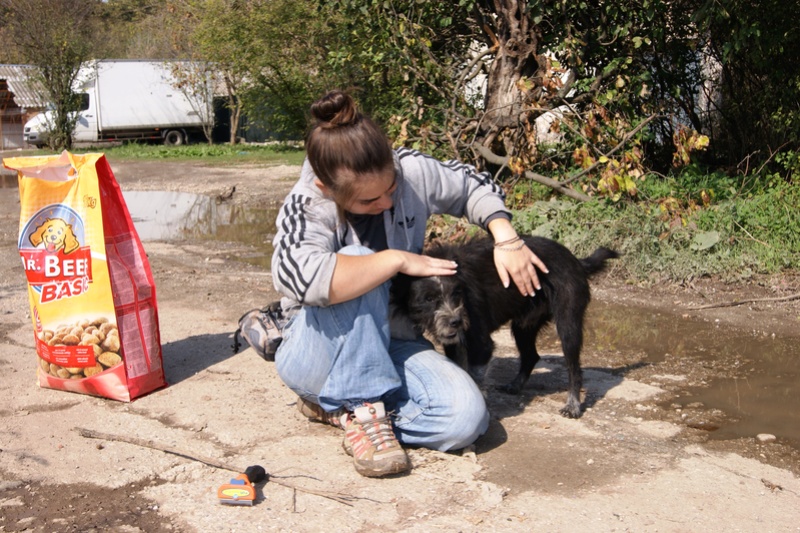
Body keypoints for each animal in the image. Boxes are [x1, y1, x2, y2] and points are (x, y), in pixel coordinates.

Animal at [390, 235, 620, 418]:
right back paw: (515, 385)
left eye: (456, 293)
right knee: (531, 356)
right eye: (428, 299)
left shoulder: (481, 344)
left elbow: (476, 376)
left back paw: (573, 405)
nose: (456, 321)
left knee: (574, 369)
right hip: (523, 326)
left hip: (567, 323)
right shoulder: (454, 343)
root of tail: (576, 260)